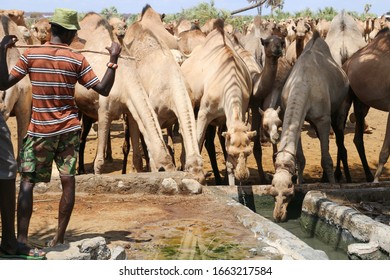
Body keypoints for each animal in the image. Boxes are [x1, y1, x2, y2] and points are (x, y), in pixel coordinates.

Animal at [180, 19, 256, 186]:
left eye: (248, 153)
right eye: (234, 153)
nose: (243, 175)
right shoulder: (204, 113)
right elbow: (197, 140)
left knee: (211, 143)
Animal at [272, 30, 350, 222]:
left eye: (288, 192)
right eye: (272, 191)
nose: (278, 215)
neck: (302, 84)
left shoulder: (323, 119)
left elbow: (326, 159)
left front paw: (333, 186)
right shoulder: (297, 120)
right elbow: (300, 158)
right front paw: (301, 182)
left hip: (340, 107)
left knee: (338, 134)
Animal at [342, 27, 390, 183]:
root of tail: (347, 63)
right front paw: (376, 181)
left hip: (362, 102)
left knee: (357, 137)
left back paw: (367, 175)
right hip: (347, 97)